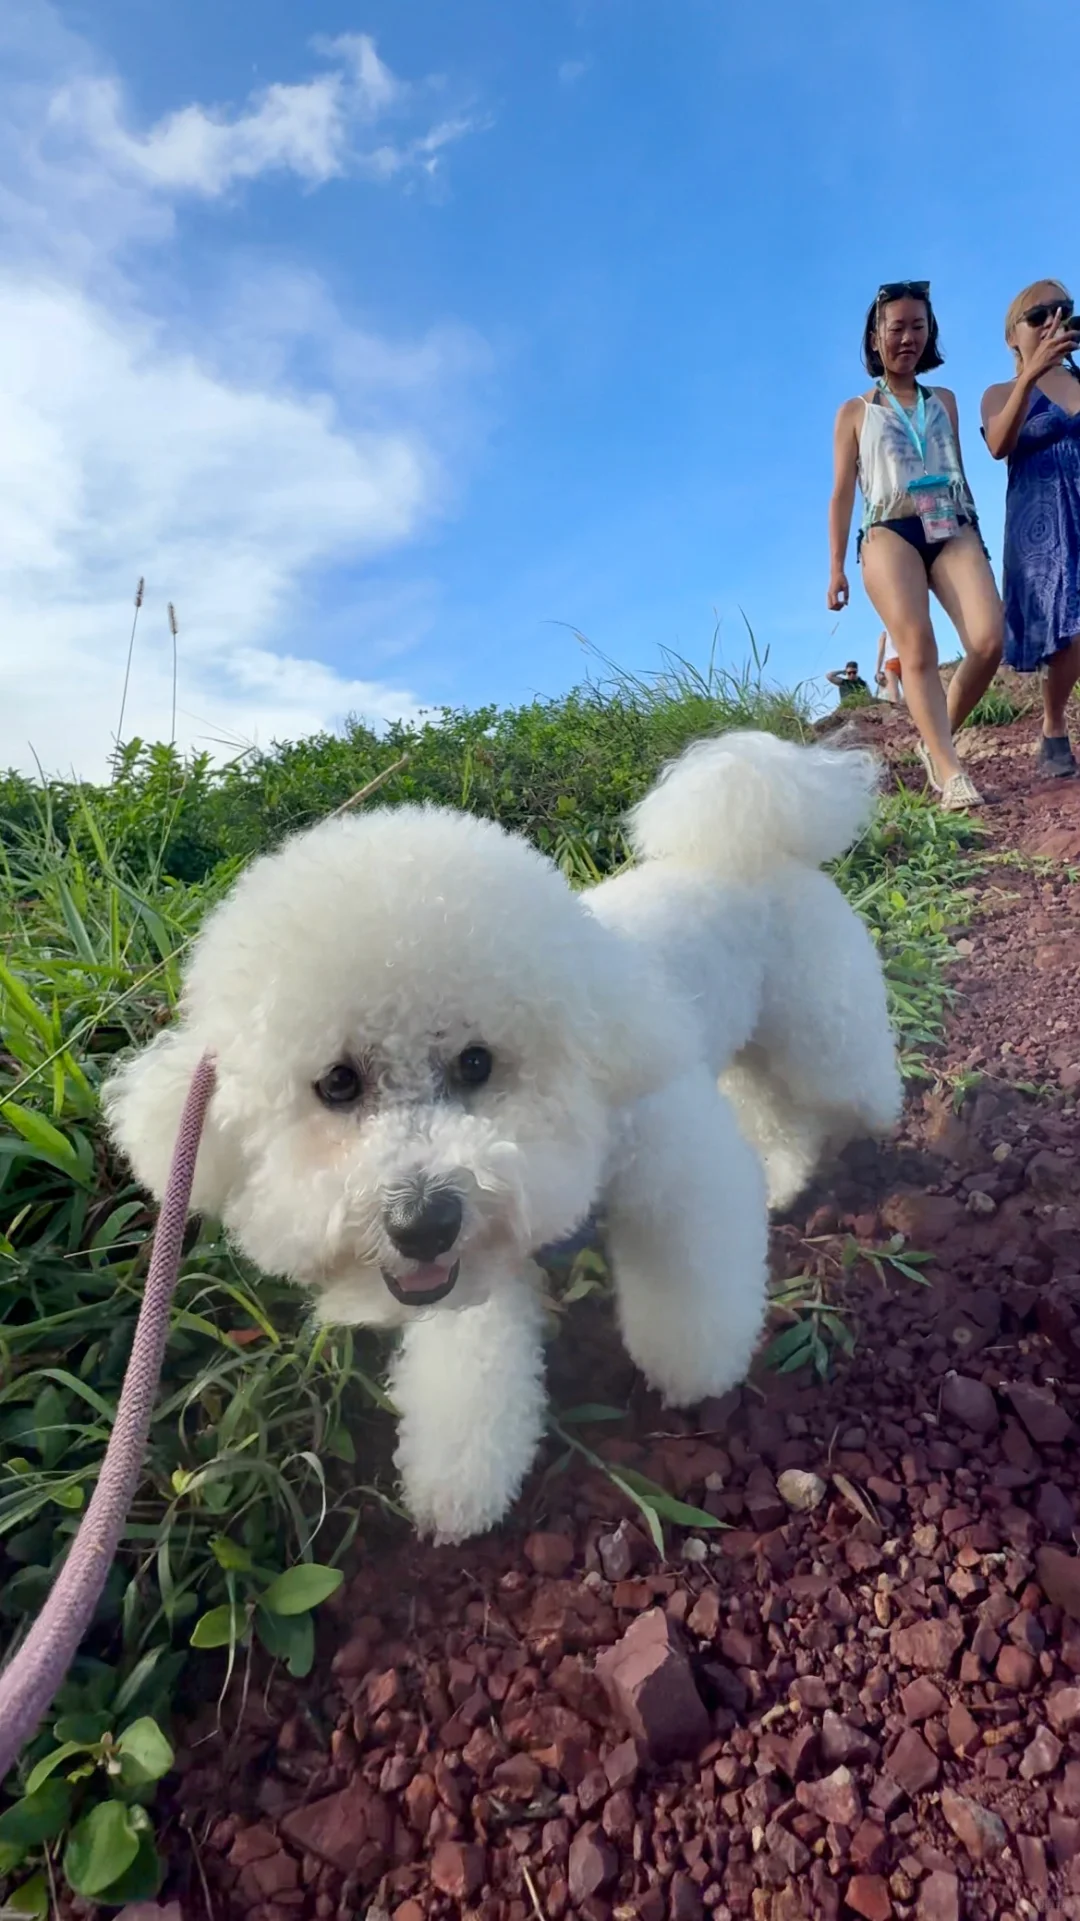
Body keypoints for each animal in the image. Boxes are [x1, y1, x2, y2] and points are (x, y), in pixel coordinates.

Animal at [105, 733, 895, 1544]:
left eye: (476, 1062)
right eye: (338, 1083)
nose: (422, 1222)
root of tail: (752, 835)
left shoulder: (678, 1162)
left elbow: (691, 1286)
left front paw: (695, 1368)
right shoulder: (475, 1265)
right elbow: (473, 1361)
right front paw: (459, 1479)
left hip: (826, 1031)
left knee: (855, 1088)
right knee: (772, 1104)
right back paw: (789, 1172)